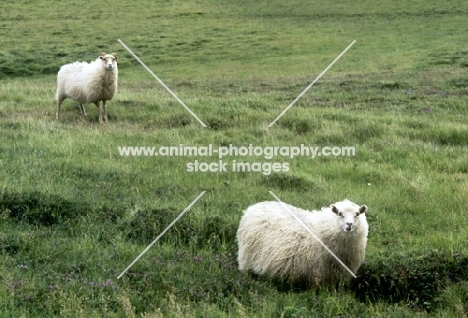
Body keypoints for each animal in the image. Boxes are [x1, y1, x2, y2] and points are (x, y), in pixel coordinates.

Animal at [238, 199, 370, 288]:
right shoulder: (316, 274)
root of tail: (255, 205)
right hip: (247, 257)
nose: (349, 225)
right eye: (340, 214)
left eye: (357, 214)